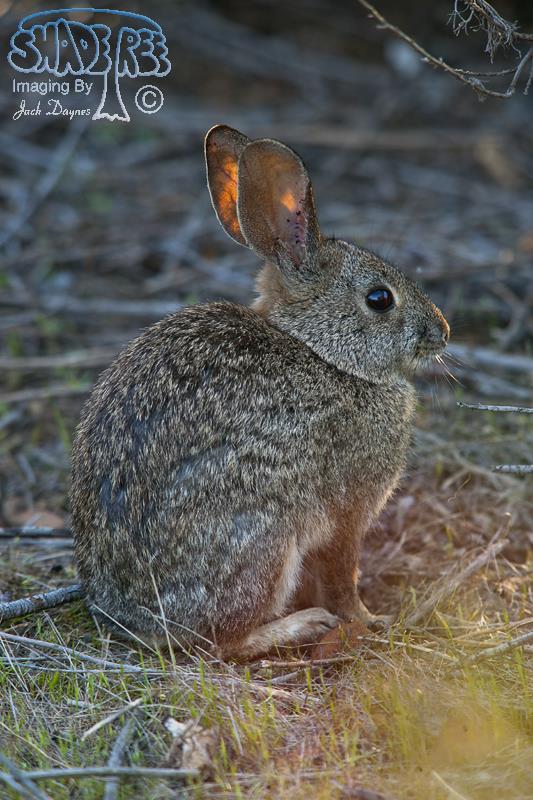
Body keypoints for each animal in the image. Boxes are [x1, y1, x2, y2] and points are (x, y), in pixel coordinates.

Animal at [71, 124, 449, 660]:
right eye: (380, 299)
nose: (443, 332)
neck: (322, 352)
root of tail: (136, 619)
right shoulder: (347, 512)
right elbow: (342, 575)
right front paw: (367, 619)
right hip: (262, 534)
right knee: (224, 640)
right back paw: (300, 626)